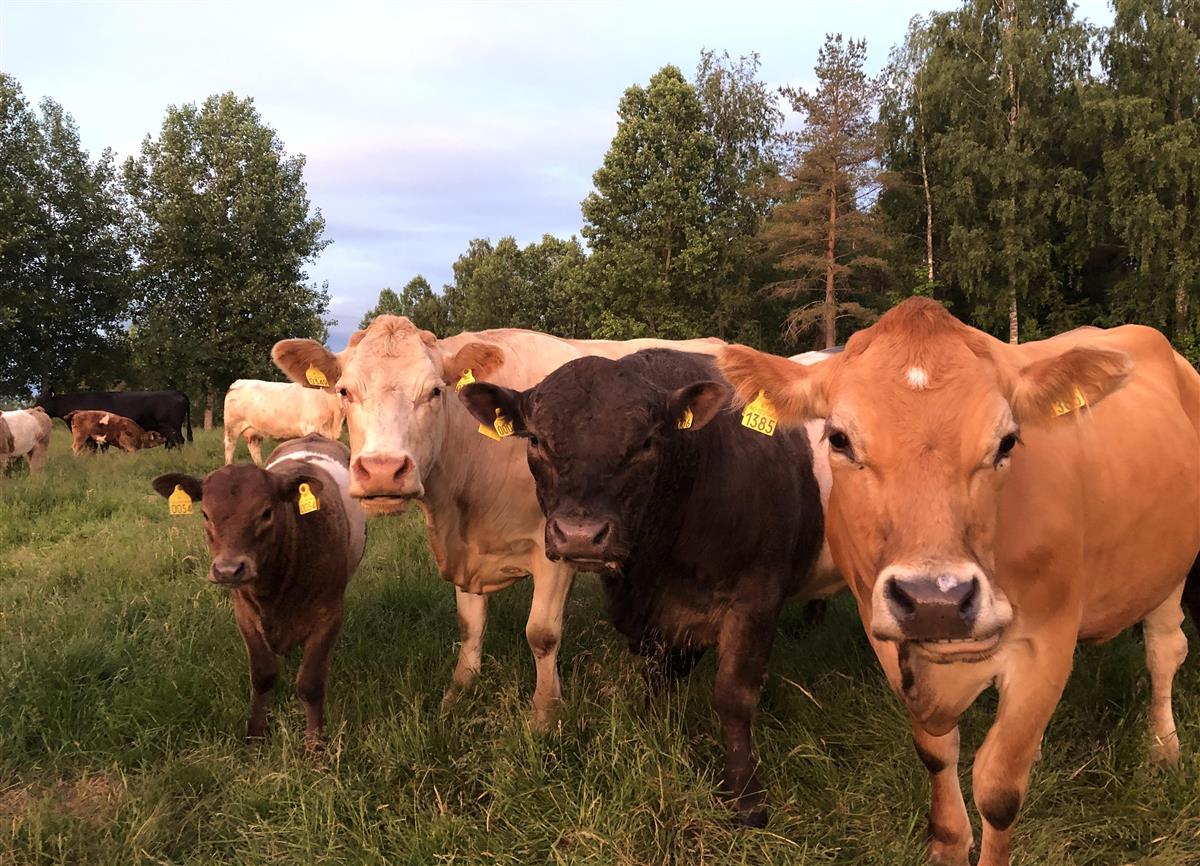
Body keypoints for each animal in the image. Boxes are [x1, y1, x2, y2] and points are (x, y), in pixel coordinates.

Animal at [40, 390, 192, 449]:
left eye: (44, 399)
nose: (37, 408)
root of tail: (176, 392)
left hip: (172, 426)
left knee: (179, 440)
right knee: (172, 442)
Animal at [152, 434, 366, 750]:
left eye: (266, 512)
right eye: (205, 514)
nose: (228, 570)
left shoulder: (329, 615)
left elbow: (311, 684)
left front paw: (314, 745)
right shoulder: (245, 616)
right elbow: (262, 676)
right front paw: (255, 735)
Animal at [272, 316, 728, 727]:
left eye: (435, 391)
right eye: (344, 391)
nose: (383, 471)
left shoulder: (558, 545)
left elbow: (541, 634)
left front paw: (544, 713)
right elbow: (469, 625)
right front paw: (458, 693)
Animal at [458, 349, 837, 825]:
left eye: (645, 444)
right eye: (536, 441)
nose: (579, 536)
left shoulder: (756, 598)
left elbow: (733, 695)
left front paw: (746, 798)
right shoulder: (652, 617)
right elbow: (658, 681)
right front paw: (656, 734)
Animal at [716, 297, 1200, 866]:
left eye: (1007, 441)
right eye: (838, 439)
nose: (936, 600)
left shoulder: (1047, 643)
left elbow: (999, 788)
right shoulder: (889, 642)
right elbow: (936, 751)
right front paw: (948, 841)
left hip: (1171, 568)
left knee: (1164, 651)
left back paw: (1163, 747)